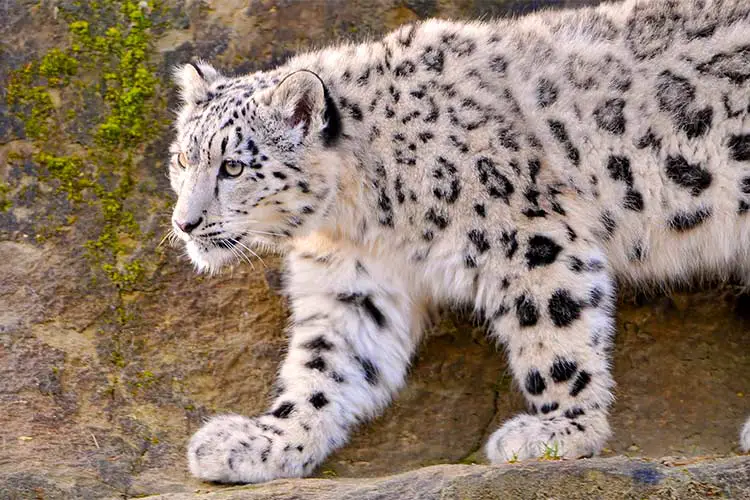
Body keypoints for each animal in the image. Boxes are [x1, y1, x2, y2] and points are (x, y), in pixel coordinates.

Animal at [169, 0, 750, 484]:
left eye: (233, 166)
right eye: (182, 158)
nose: (185, 223)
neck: (358, 216)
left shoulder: (530, 239)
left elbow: (554, 333)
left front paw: (562, 431)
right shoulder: (354, 285)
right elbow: (324, 367)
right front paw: (264, 442)